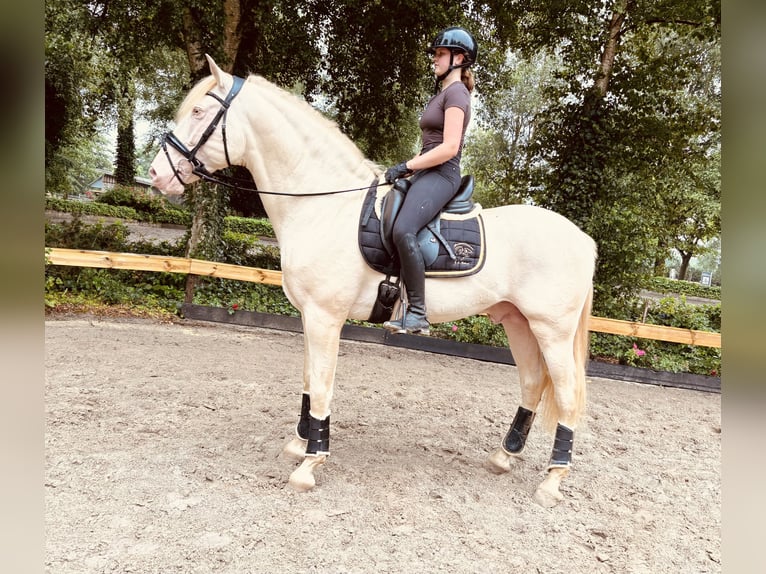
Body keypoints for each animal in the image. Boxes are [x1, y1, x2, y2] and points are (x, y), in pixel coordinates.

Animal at [149, 55, 597, 508]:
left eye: (199, 111)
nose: (155, 174)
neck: (326, 207)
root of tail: (583, 239)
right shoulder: (309, 316)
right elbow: (309, 380)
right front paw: (300, 443)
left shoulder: (326, 317)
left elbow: (322, 386)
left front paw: (310, 464)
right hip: (517, 323)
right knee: (532, 384)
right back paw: (504, 457)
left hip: (552, 331)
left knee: (568, 395)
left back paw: (552, 480)